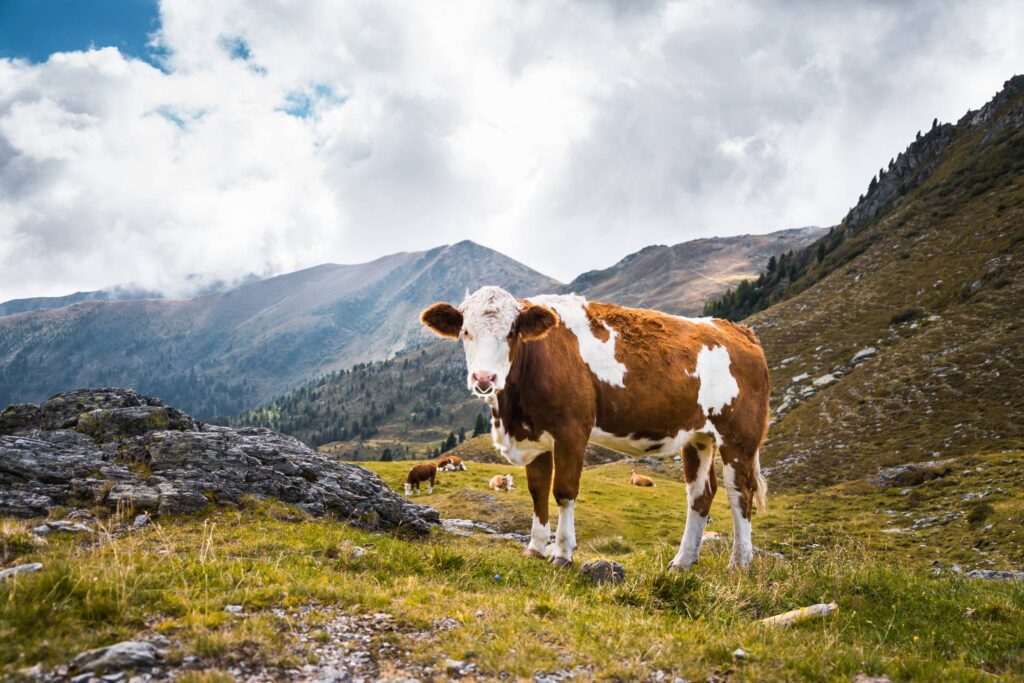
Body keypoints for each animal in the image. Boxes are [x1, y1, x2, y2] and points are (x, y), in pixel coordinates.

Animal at [417, 286, 770, 573]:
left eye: (512, 331)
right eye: (465, 331)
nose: (484, 378)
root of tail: (738, 330)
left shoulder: (572, 430)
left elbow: (563, 491)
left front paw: (562, 554)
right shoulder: (535, 436)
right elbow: (537, 491)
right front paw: (535, 548)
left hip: (739, 437)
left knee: (741, 493)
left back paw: (739, 564)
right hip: (698, 437)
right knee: (701, 494)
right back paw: (682, 562)